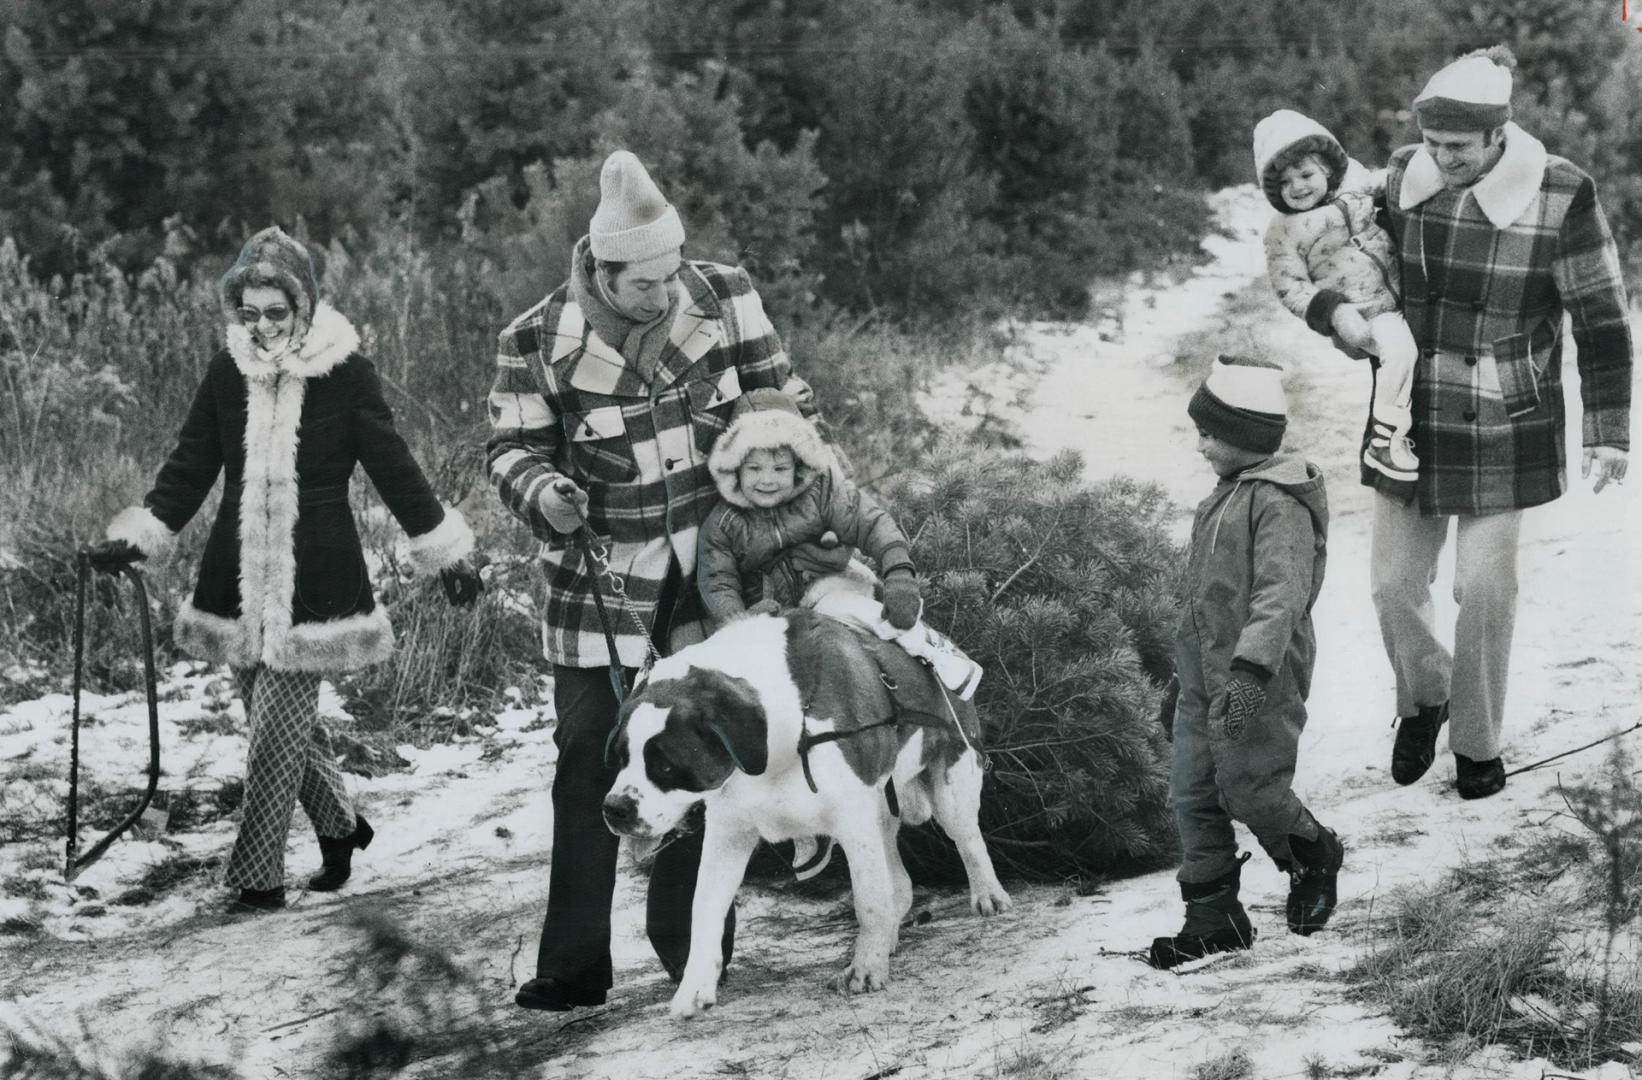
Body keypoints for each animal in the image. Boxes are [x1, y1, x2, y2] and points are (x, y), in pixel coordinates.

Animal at [604, 604, 1011, 1017]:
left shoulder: (852, 821)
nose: (614, 808)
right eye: (621, 758)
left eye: (666, 766)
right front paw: (694, 987)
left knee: (968, 840)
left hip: (951, 785)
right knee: (898, 882)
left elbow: (868, 900)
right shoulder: (729, 832)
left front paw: (866, 970)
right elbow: (704, 906)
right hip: (881, 808)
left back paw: (988, 895)